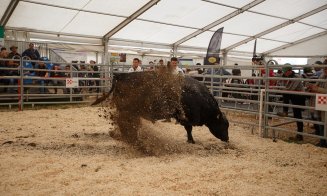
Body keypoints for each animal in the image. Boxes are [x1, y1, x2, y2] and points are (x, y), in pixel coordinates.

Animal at [93, 72, 229, 144]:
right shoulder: (186, 118)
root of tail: (121, 75)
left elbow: (188, 130)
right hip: (127, 112)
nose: (227, 139)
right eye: (224, 124)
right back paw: (132, 139)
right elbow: (189, 129)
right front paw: (191, 140)